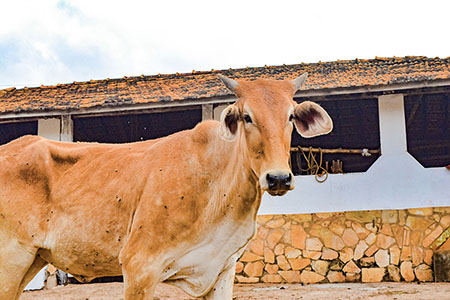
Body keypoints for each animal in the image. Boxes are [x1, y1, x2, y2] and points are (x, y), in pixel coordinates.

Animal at [0, 73, 330, 300]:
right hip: (12, 258)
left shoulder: (222, 270)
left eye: (290, 115)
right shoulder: (139, 266)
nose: (278, 178)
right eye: (247, 116)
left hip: (32, 258)